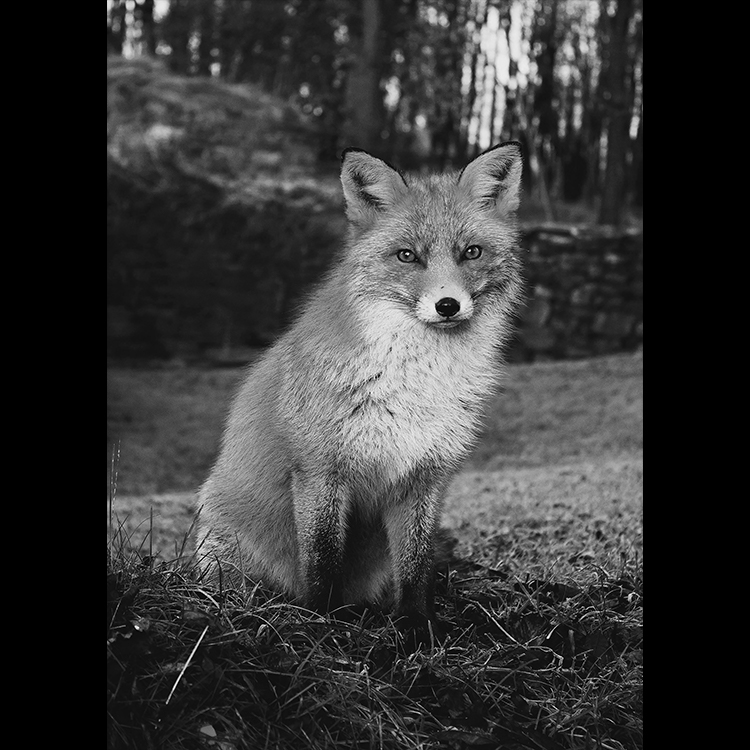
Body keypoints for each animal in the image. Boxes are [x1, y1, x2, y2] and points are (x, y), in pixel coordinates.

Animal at [197, 142, 524, 635]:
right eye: (407, 256)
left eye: (471, 252)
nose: (447, 305)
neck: (416, 381)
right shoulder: (320, 470)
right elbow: (322, 558)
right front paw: (322, 622)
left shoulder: (424, 476)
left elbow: (417, 565)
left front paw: (417, 627)